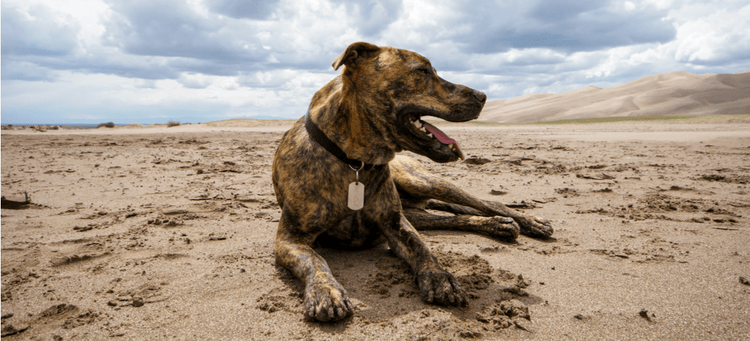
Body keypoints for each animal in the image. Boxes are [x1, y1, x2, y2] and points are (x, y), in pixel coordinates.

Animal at [274, 42, 556, 322]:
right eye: (422, 71)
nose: (483, 95)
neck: (354, 162)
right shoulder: (289, 239)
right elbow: (315, 260)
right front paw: (326, 291)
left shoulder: (396, 224)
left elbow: (420, 247)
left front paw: (440, 276)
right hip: (417, 210)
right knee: (454, 217)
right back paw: (498, 225)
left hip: (422, 181)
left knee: (484, 203)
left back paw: (529, 221)